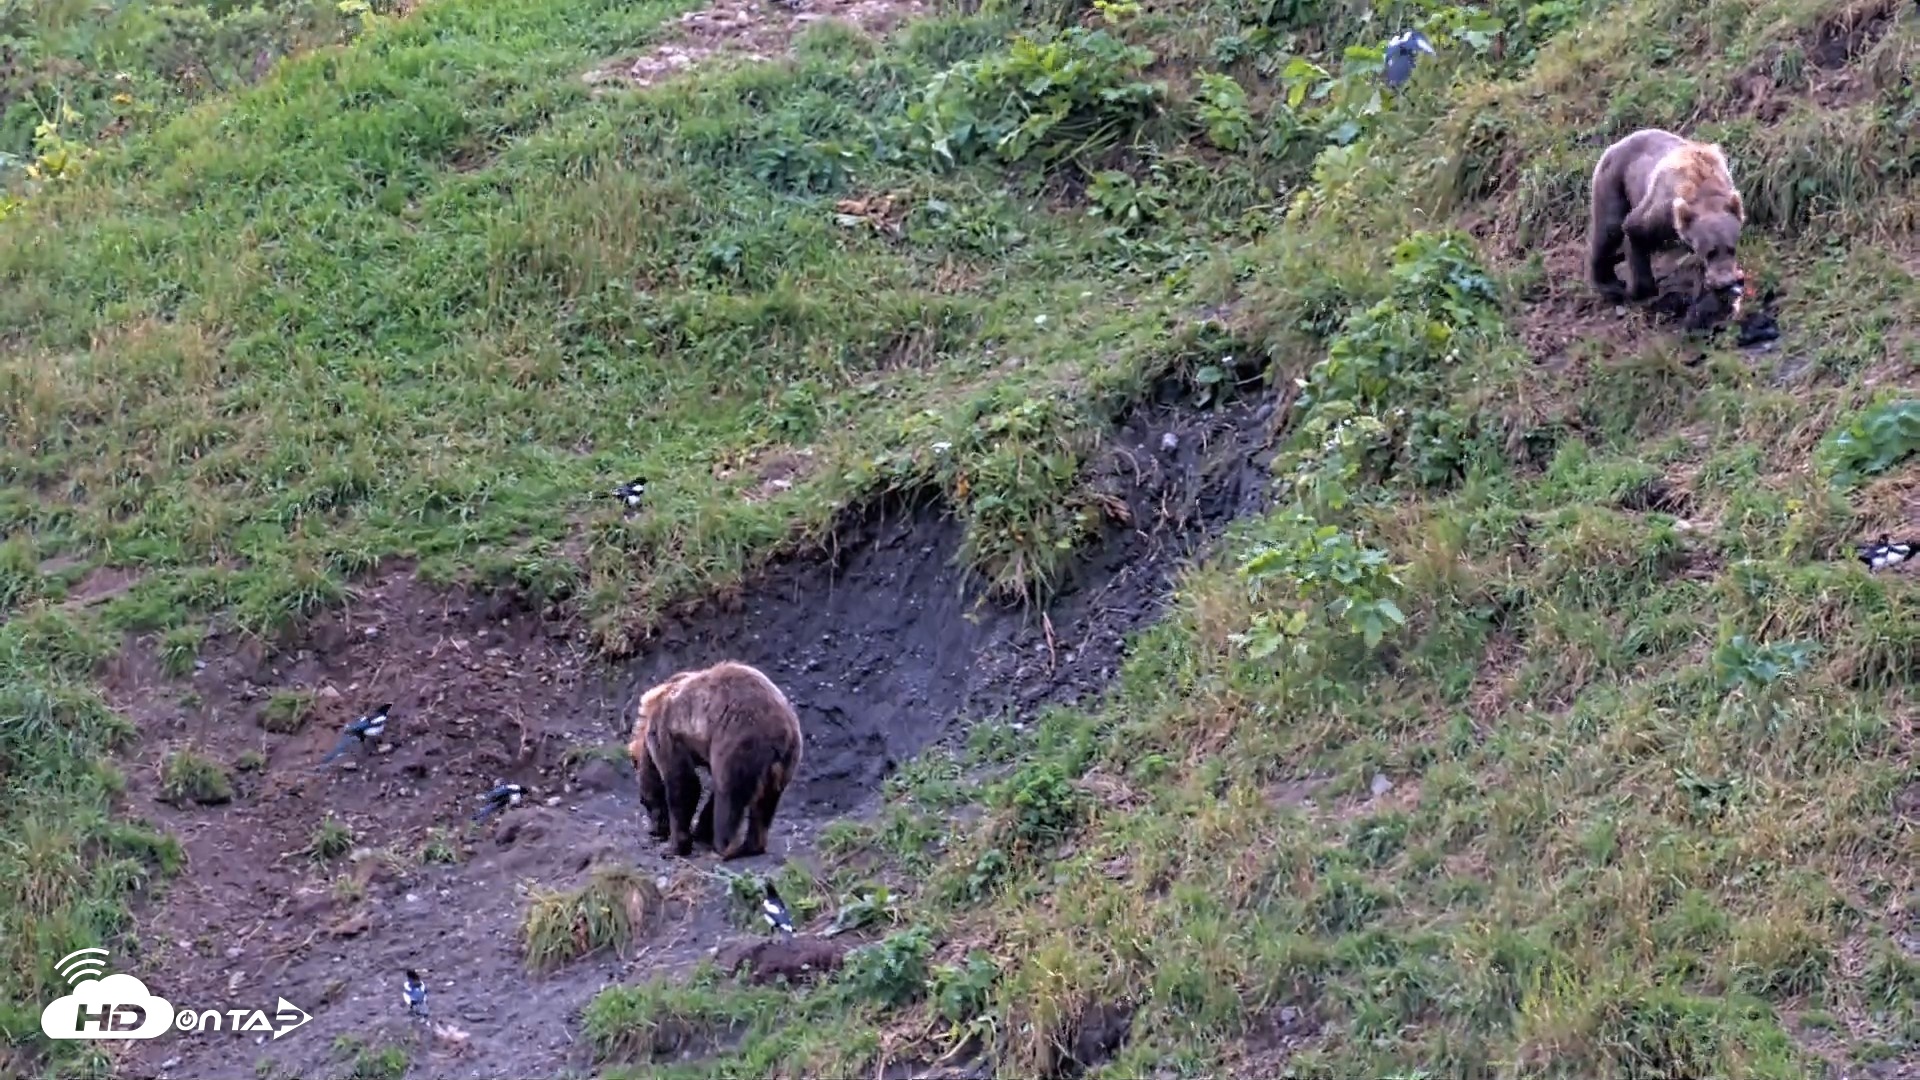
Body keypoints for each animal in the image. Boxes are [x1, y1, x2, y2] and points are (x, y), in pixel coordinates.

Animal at [626, 661, 803, 860]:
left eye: (643, 802)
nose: (654, 831)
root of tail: (784, 732)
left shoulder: (667, 733)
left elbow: (683, 782)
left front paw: (674, 847)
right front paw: (699, 831)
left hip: (738, 740)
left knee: (728, 794)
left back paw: (725, 848)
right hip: (785, 762)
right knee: (765, 803)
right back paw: (751, 845)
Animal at [1587, 128, 1745, 304]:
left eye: (1731, 249)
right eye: (1710, 252)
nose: (1725, 282)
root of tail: (1618, 142)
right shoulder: (1662, 207)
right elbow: (1634, 230)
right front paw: (1639, 290)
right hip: (1613, 179)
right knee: (1609, 228)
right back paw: (1606, 282)